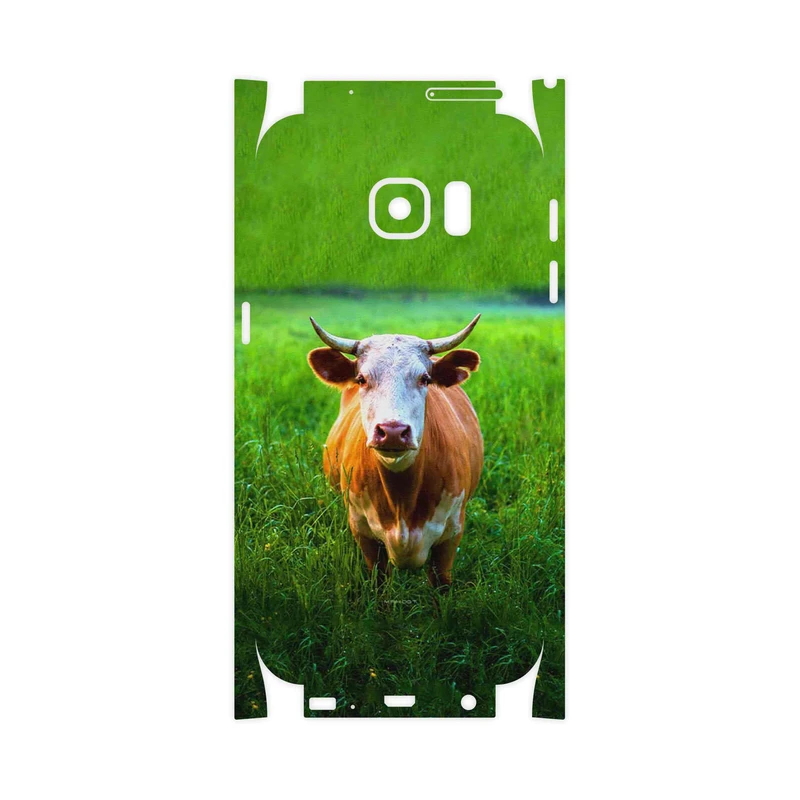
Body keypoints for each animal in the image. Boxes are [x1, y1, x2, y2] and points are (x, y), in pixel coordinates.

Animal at [307, 315, 484, 590]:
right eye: (361, 379)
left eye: (425, 379)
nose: (392, 431)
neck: (403, 500)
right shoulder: (364, 533)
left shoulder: (451, 535)